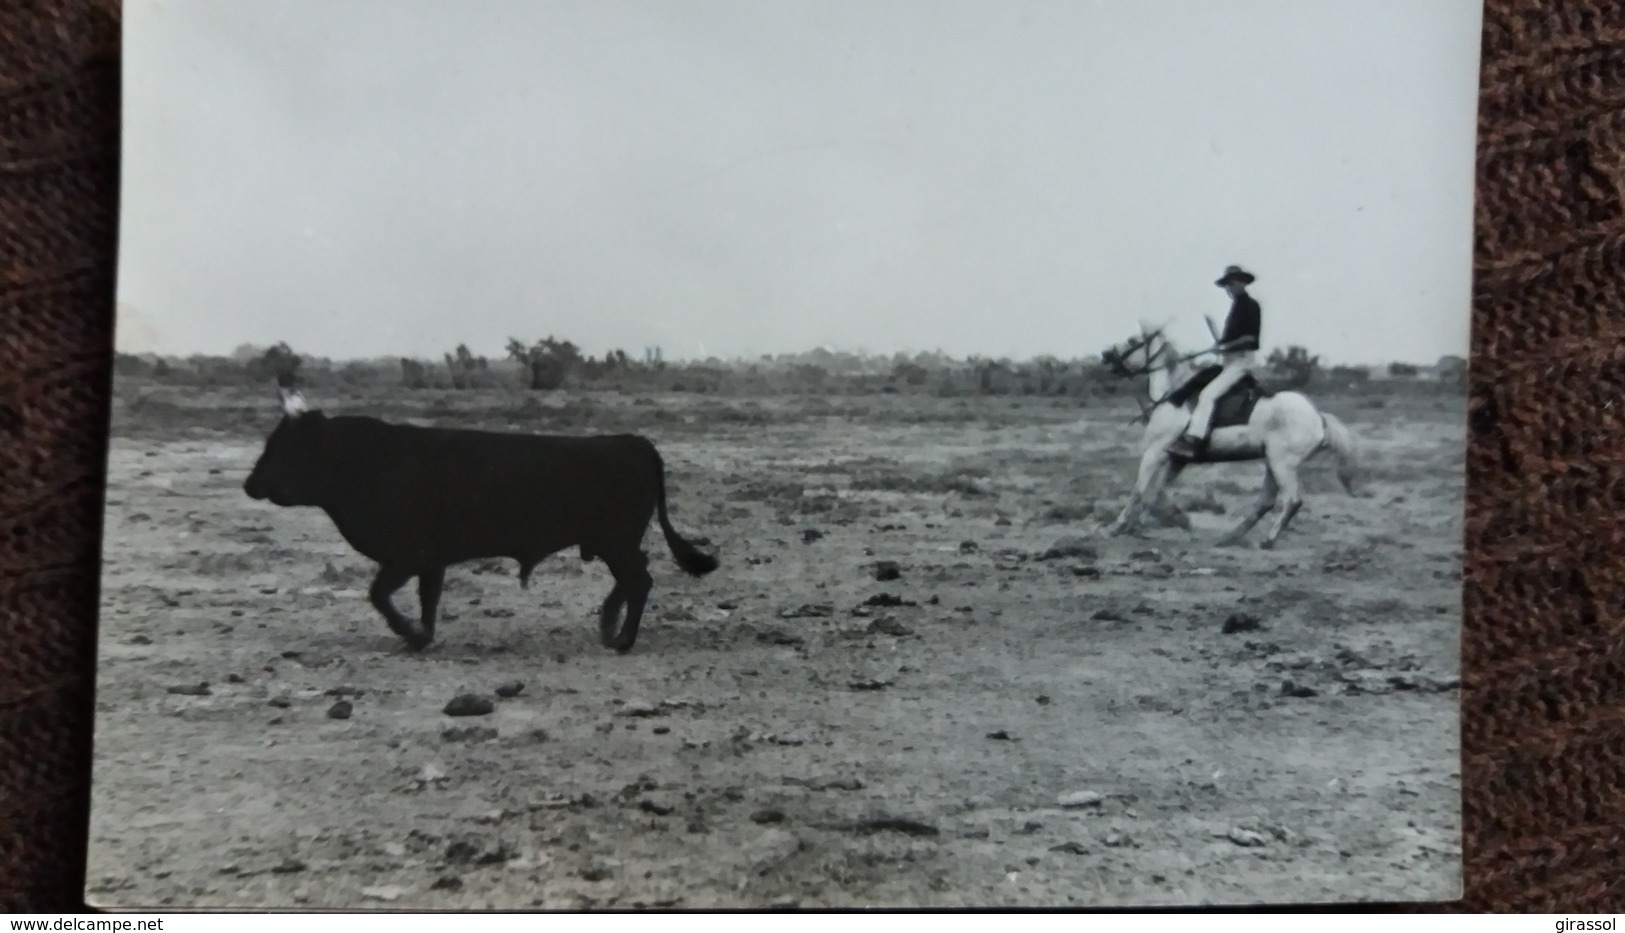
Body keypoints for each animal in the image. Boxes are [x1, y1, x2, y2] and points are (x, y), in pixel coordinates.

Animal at [240, 412, 718, 653]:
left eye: (287, 446)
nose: (250, 484)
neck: (367, 460)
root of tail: (634, 441)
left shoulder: (408, 556)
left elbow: (379, 595)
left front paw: (411, 635)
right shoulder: (429, 562)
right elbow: (427, 599)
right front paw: (421, 636)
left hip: (616, 541)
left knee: (639, 580)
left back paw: (621, 639)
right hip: (611, 543)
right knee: (632, 579)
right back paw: (607, 627)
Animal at [1105, 325, 1358, 552]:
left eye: (1132, 340)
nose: (1106, 356)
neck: (1175, 396)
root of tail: (1319, 418)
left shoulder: (1155, 452)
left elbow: (1139, 491)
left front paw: (1119, 526)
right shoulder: (1176, 460)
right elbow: (1155, 494)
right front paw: (1149, 523)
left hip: (1282, 464)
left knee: (1292, 500)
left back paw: (1266, 540)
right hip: (1271, 462)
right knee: (1265, 502)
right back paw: (1230, 537)